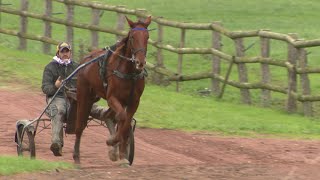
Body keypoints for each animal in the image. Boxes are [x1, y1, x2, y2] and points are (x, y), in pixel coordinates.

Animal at [74, 16, 151, 165]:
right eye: (132, 37)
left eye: (147, 37)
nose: (140, 62)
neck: (129, 73)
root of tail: (85, 59)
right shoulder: (112, 97)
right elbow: (121, 116)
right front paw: (112, 141)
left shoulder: (134, 101)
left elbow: (125, 124)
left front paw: (121, 154)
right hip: (84, 96)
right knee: (80, 124)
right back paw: (76, 158)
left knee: (107, 115)